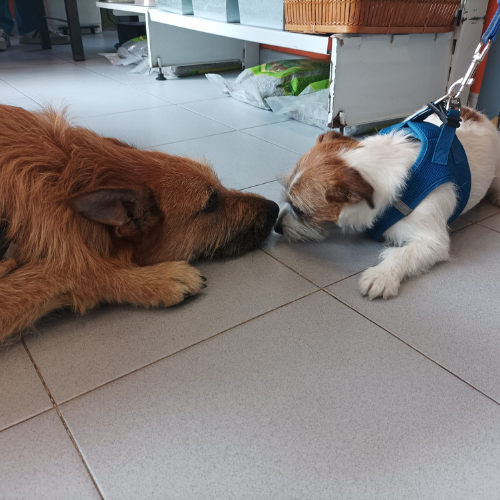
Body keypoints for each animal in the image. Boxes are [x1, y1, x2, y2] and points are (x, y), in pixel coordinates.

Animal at [276, 107, 500, 298]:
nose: (277, 228)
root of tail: (475, 112)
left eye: (299, 210)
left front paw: (382, 275)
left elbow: (403, 254)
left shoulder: (432, 240)